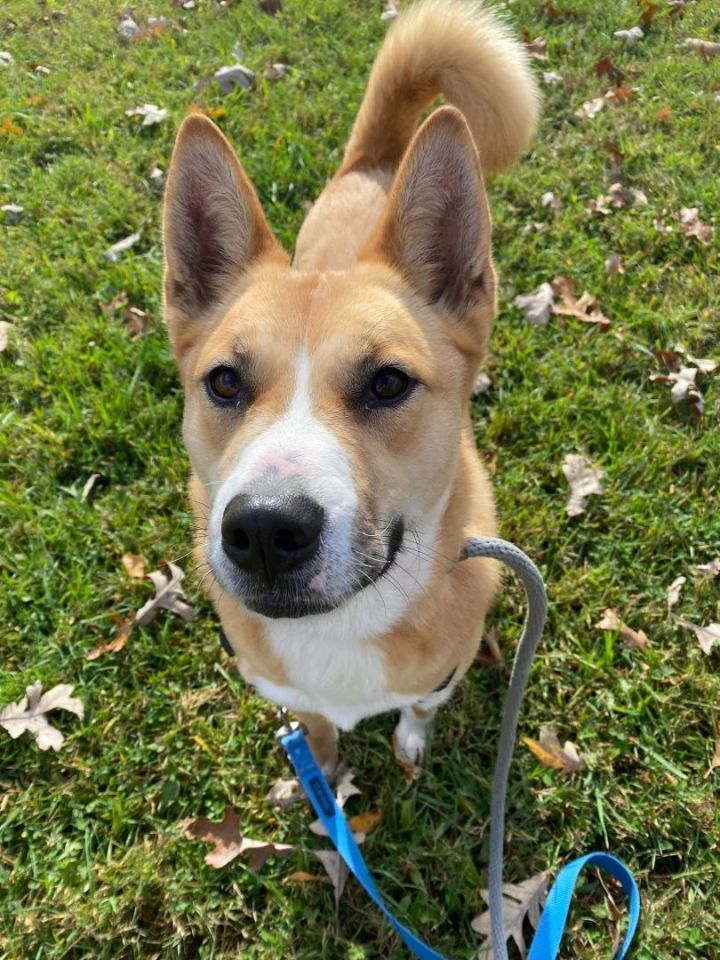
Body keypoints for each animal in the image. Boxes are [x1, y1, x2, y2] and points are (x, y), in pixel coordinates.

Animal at [162, 0, 536, 776]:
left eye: (388, 383)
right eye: (224, 381)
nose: (264, 530)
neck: (340, 626)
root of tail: (380, 160)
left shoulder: (441, 674)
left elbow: (420, 707)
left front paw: (410, 744)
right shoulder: (292, 699)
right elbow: (319, 735)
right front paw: (325, 777)